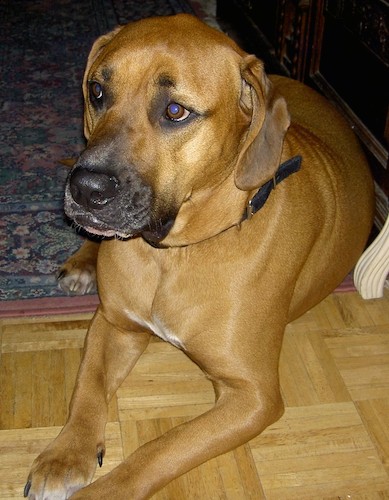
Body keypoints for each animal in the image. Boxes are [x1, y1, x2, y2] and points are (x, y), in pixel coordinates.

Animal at [25, 13, 372, 498]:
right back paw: (82, 262)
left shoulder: (253, 395)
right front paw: (65, 454)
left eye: (175, 111)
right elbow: (86, 389)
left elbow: (160, 449)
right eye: (97, 91)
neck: (173, 254)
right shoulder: (113, 325)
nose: (85, 189)